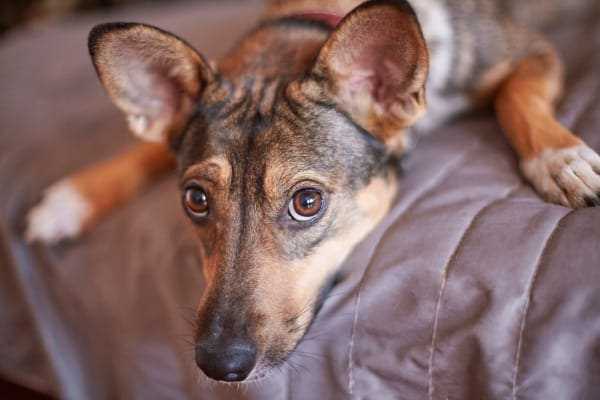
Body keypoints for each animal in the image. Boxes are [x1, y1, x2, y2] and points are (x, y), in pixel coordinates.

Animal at [24, 0, 600, 382]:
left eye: (306, 202)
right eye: (195, 200)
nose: (219, 365)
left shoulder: (528, 51)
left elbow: (518, 98)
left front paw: (560, 158)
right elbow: (148, 150)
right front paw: (71, 198)